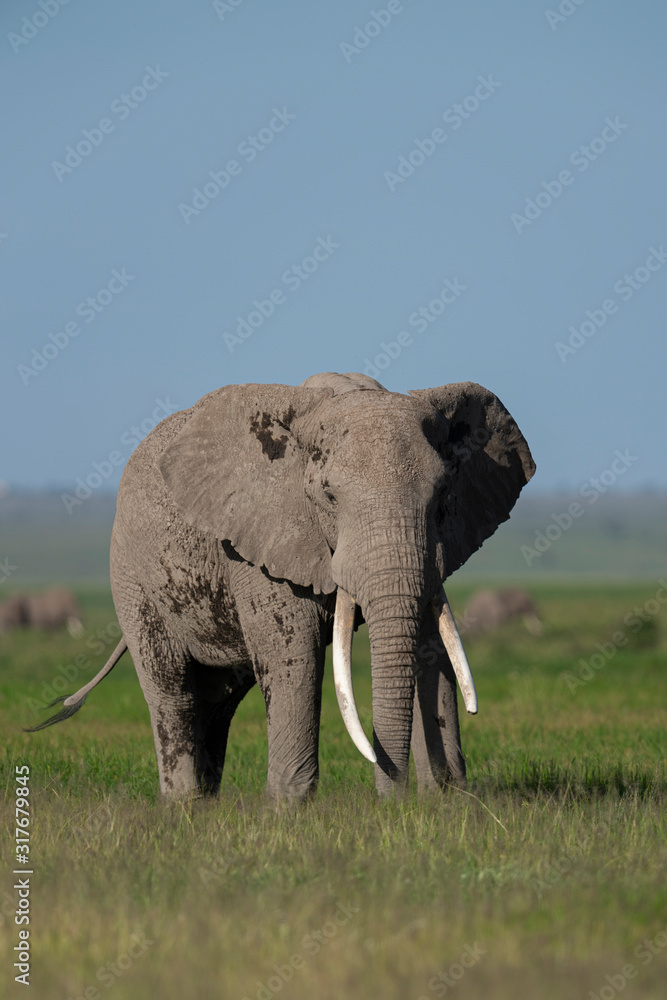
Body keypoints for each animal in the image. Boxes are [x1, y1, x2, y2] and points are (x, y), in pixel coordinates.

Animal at [28, 372, 535, 801]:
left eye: (443, 493)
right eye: (328, 496)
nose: (393, 802)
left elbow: (434, 648)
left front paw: (448, 803)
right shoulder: (257, 544)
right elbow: (294, 654)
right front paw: (289, 810)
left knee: (219, 699)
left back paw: (206, 807)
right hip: (132, 576)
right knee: (172, 688)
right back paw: (184, 807)